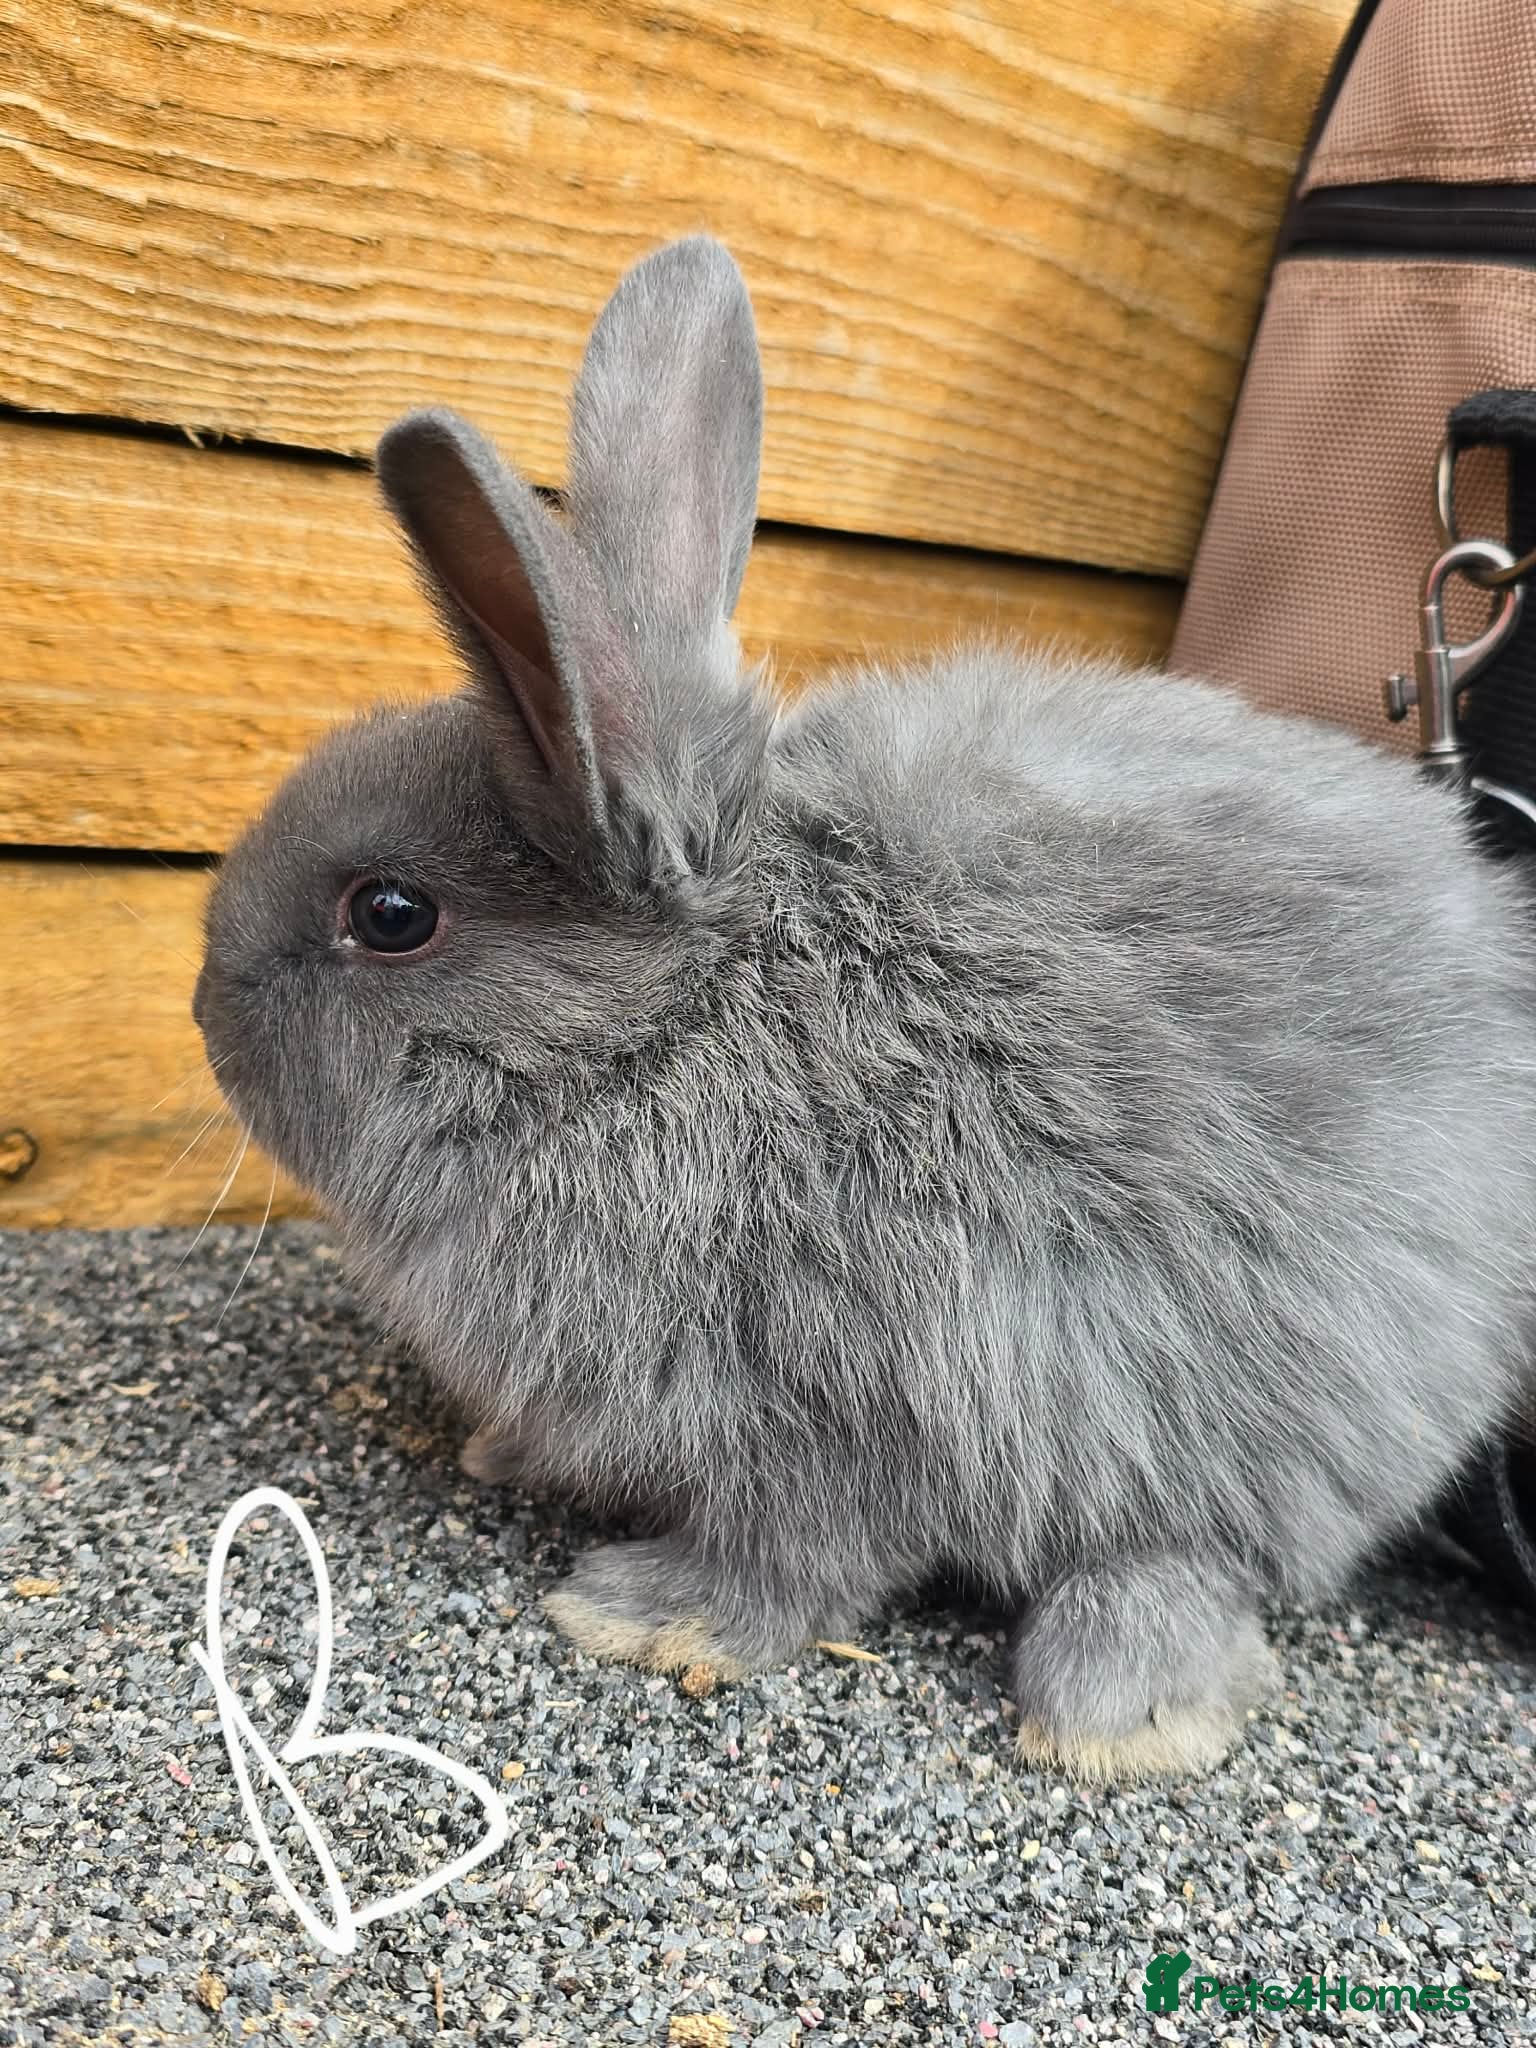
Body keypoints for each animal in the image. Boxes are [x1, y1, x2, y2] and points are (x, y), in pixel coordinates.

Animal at [195, 234, 1536, 1782]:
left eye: (391, 915)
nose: (201, 1005)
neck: (680, 1030)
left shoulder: (860, 1397)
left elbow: (797, 1557)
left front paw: (642, 1618)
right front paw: (505, 1456)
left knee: (1193, 1559)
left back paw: (1112, 1716)